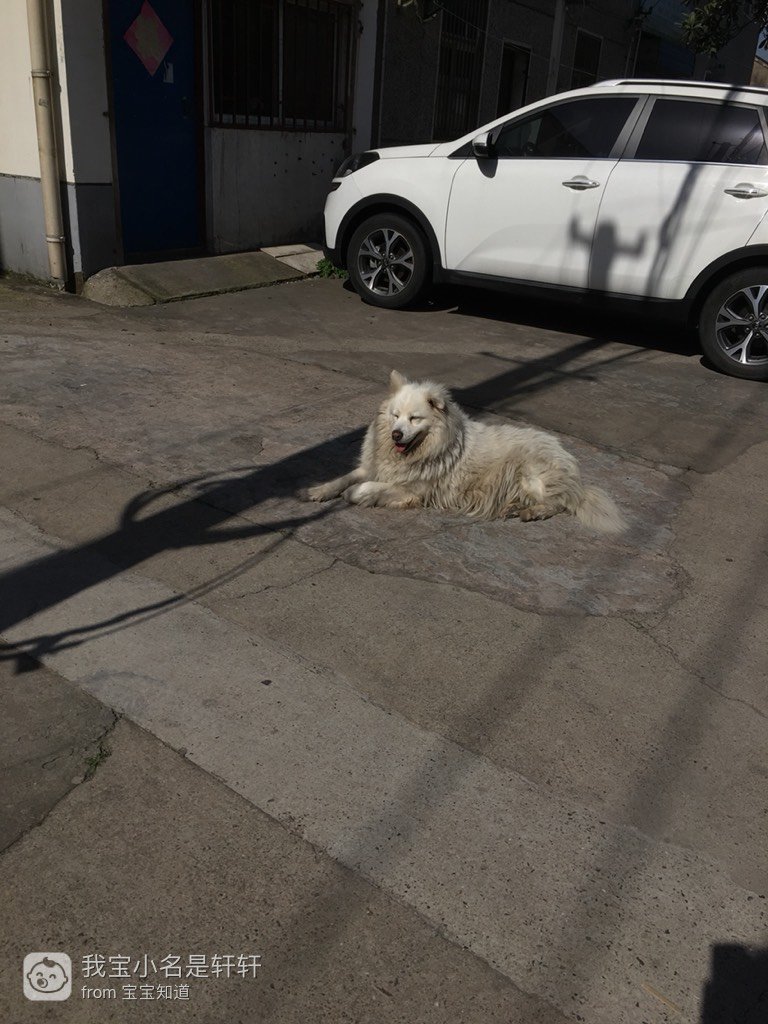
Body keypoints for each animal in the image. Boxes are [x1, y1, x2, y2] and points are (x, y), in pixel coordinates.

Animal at [305, 371, 626, 533]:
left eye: (414, 419)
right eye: (395, 416)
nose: (396, 434)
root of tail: (573, 469)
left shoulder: (413, 489)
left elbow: (365, 488)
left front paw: (357, 495)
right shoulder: (371, 467)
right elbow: (344, 477)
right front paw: (320, 490)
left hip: (530, 473)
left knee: (559, 503)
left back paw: (531, 512)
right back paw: (515, 508)